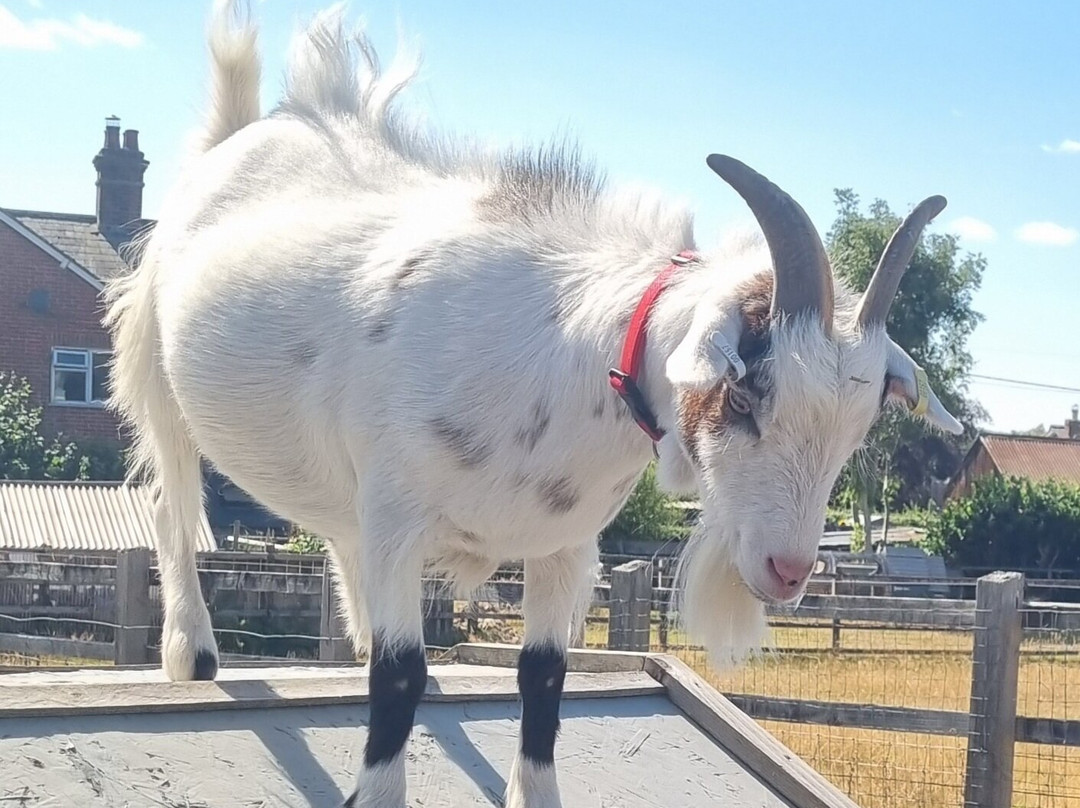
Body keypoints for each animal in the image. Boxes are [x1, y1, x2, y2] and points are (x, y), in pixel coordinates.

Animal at [104, 2, 963, 806]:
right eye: (748, 393)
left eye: (860, 429)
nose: (788, 572)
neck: (570, 360)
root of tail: (247, 129)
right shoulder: (401, 520)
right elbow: (399, 679)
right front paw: (376, 790)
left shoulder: (565, 547)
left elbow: (545, 678)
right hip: (158, 371)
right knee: (172, 503)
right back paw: (190, 651)